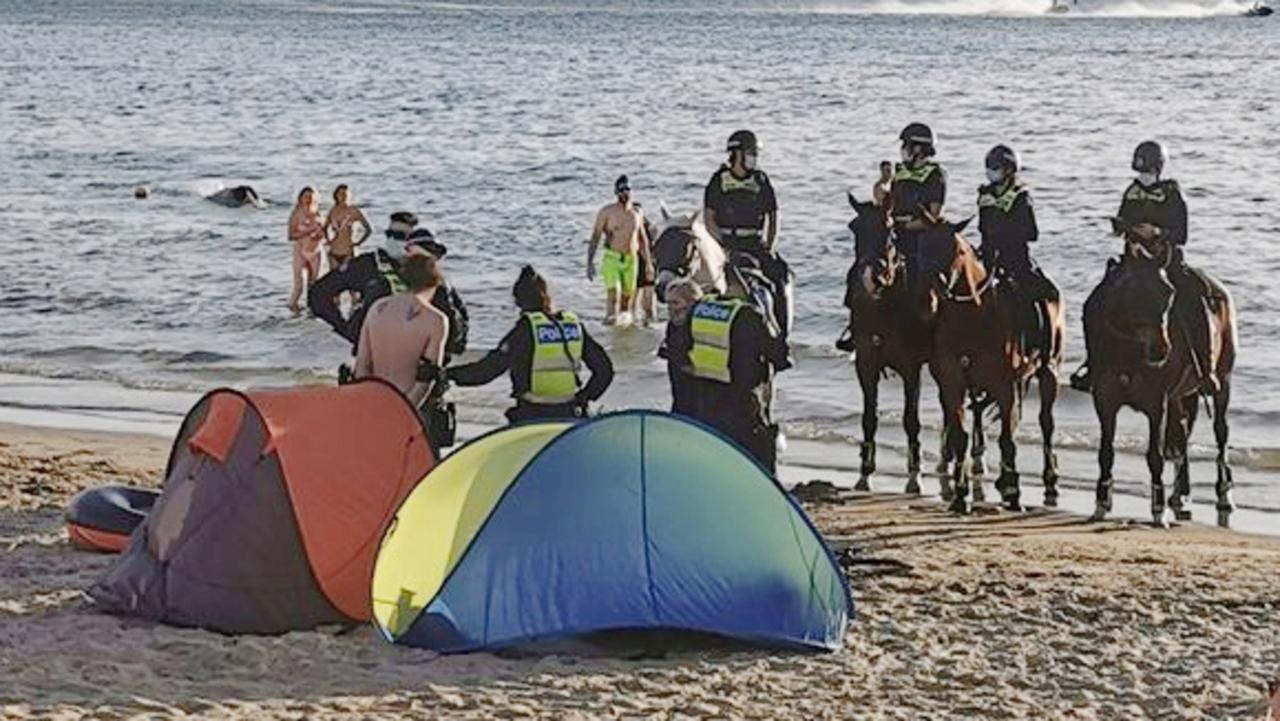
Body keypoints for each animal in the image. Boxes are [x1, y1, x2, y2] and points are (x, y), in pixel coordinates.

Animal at [844, 194, 936, 494]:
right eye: (854, 228)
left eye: (888, 229)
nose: (869, 278)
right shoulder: (866, 365)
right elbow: (869, 417)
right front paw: (864, 473)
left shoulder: (911, 369)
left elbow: (910, 420)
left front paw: (914, 476)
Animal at [916, 213, 1064, 512]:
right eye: (922, 247)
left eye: (956, 251)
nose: (928, 301)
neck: (972, 320)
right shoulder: (953, 384)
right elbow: (960, 435)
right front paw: (960, 496)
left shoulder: (1004, 387)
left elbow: (1007, 439)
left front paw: (1014, 494)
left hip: (1048, 371)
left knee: (1046, 422)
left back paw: (1048, 477)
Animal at [1085, 239, 1233, 527]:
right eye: (1135, 292)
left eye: (1169, 293)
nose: (1161, 350)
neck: (1128, 350)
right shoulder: (1104, 401)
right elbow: (1105, 452)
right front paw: (1101, 504)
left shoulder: (1157, 405)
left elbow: (1155, 456)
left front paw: (1157, 511)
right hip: (1179, 396)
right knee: (1182, 434)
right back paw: (1180, 495)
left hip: (1223, 381)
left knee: (1220, 432)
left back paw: (1223, 495)